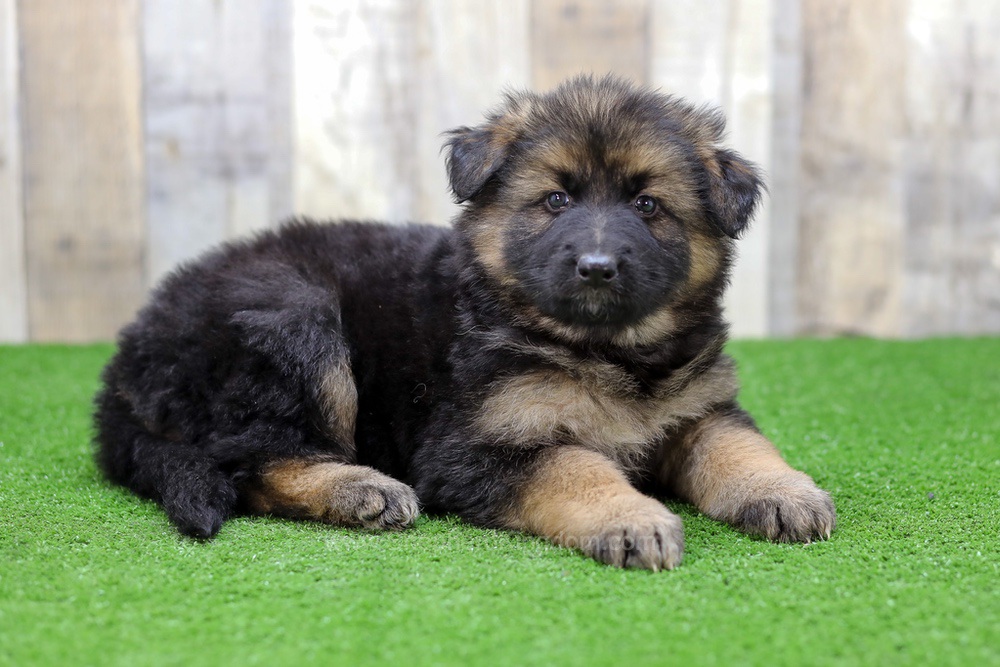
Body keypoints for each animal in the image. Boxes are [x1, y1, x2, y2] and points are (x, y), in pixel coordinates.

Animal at [95, 76, 835, 570]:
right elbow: (577, 466)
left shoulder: (698, 408)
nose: (597, 267)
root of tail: (126, 360)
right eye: (556, 200)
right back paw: (360, 488)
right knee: (248, 458)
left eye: (648, 205)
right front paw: (632, 517)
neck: (607, 351)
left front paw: (785, 492)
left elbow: (738, 447)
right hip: (295, 318)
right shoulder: (473, 446)